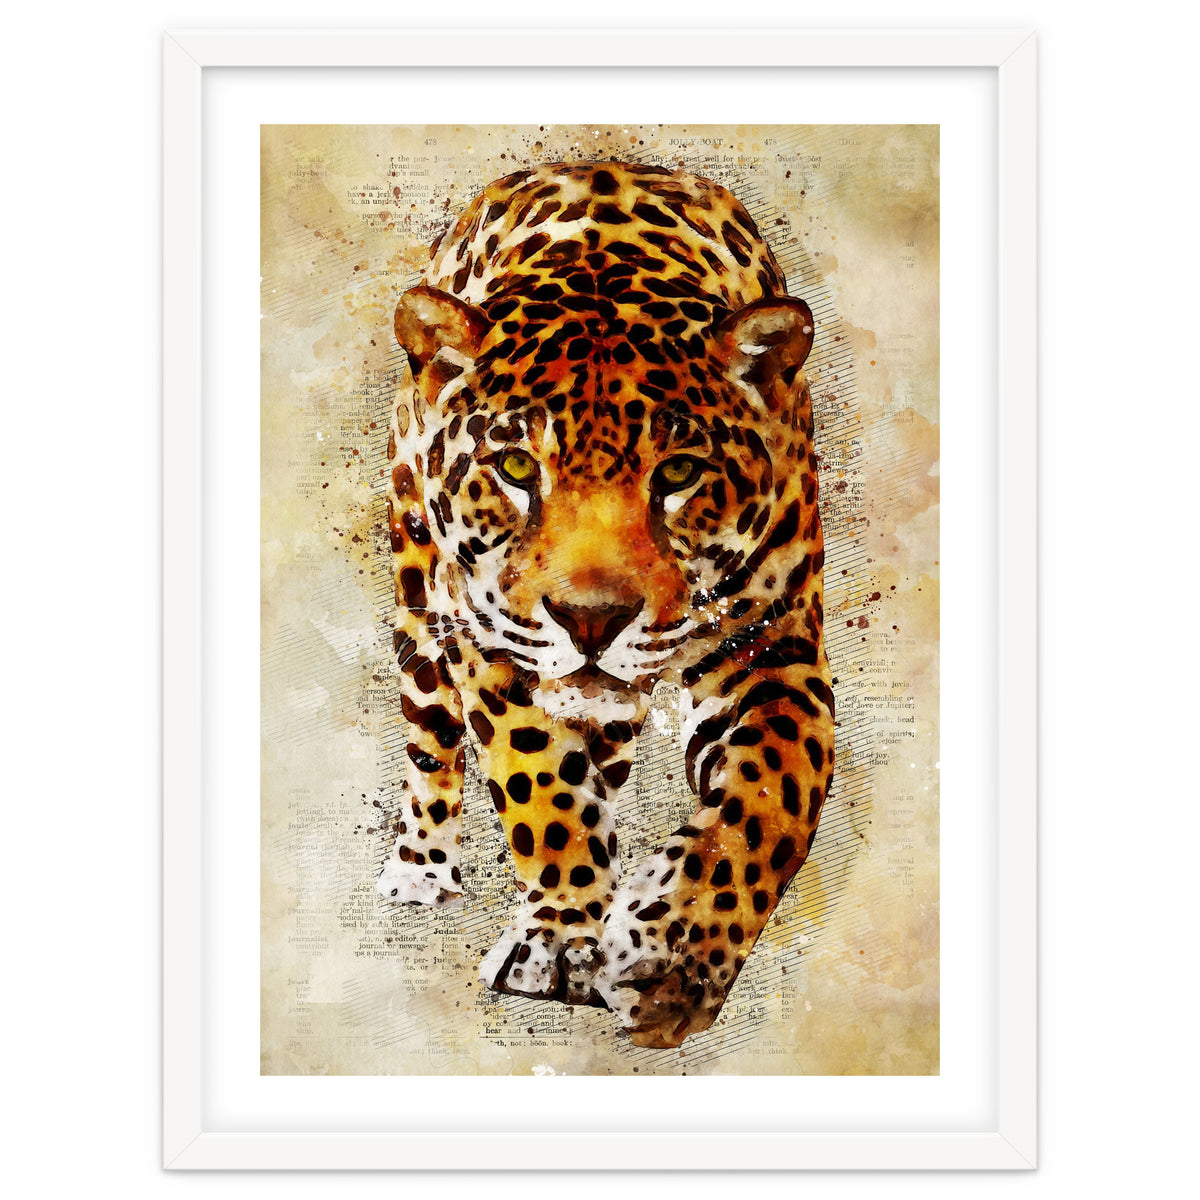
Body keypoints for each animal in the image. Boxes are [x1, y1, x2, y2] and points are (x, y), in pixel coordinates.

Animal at [376, 160, 835, 1049]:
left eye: (680, 472)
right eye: (516, 467)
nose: (591, 619)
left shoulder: (775, 646)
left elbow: (773, 797)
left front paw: (671, 957)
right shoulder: (493, 642)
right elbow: (538, 781)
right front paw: (561, 939)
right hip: (420, 600)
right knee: (430, 739)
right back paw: (420, 868)